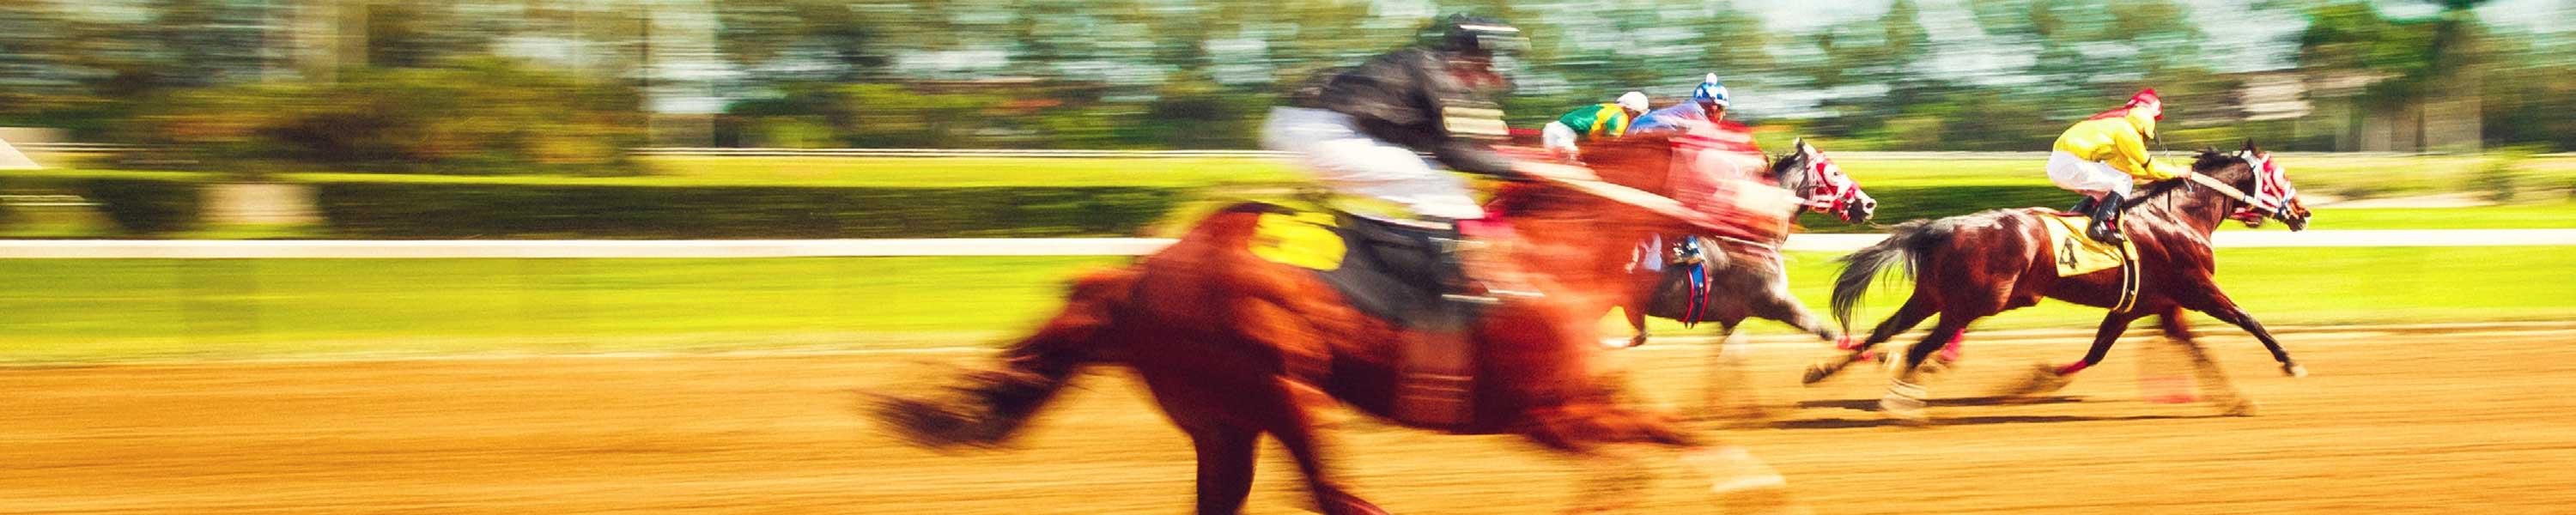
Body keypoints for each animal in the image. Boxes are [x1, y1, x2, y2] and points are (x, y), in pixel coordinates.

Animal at [866, 134, 1793, 515]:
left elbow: (1668, 435)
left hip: (1223, 417)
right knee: (1334, 495)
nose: (1780, 222)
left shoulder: (1576, 406)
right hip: (1282, 384)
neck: (1560, 259)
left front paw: (1756, 483)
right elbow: (1638, 455)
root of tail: (1143, 271)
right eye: (1749, 161)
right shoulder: (1546, 414)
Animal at [1814, 142, 2318, 422]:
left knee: (1884, 331)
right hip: (1971, 304)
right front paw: (2290, 363)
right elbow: (2247, 320)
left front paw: (2034, 382)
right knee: (1919, 347)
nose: (2303, 212)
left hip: (1934, 297)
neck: (2179, 215)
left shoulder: (2147, 305)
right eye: (2280, 176)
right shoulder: (2198, 289)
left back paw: (1823, 372)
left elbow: (2107, 353)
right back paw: (1901, 403)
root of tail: (1941, 226)